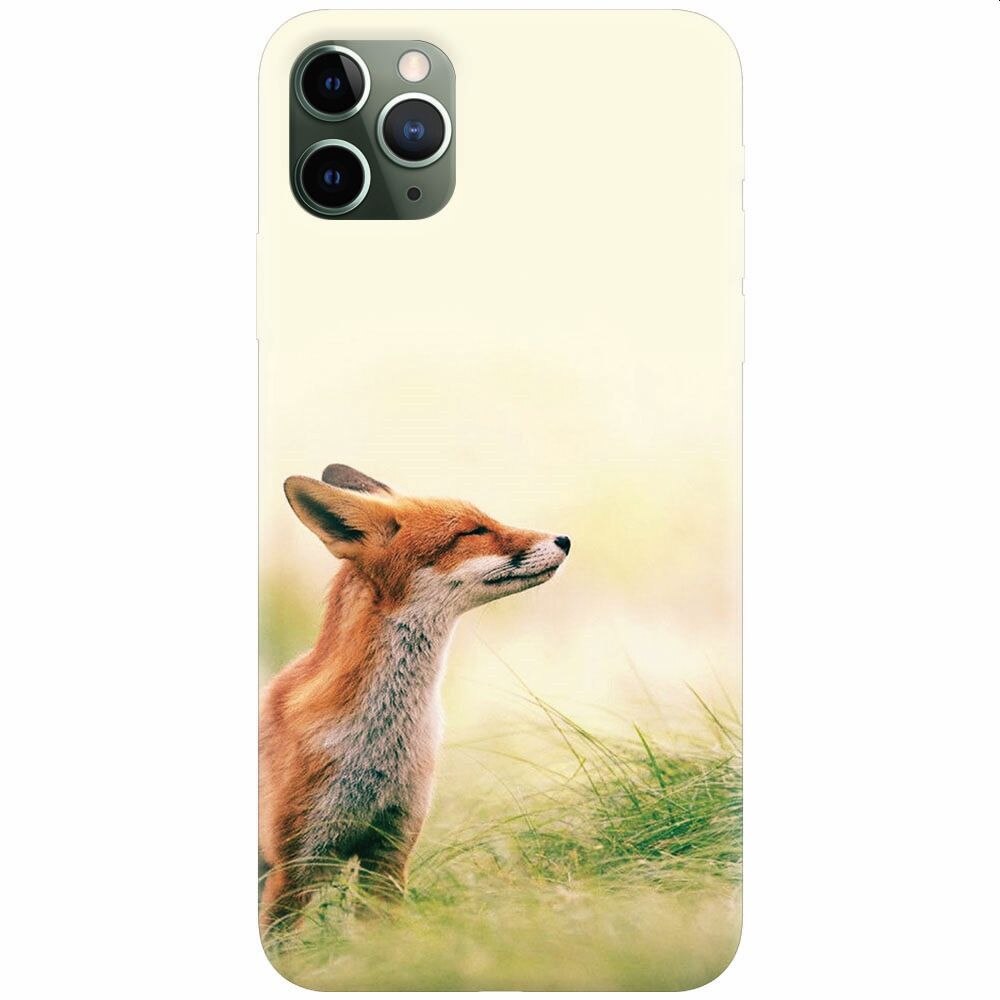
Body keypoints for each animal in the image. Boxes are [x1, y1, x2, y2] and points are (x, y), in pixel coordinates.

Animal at [259, 463, 570, 933]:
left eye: (487, 519)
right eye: (473, 531)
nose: (565, 540)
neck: (381, 744)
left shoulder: (390, 850)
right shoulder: (293, 866)